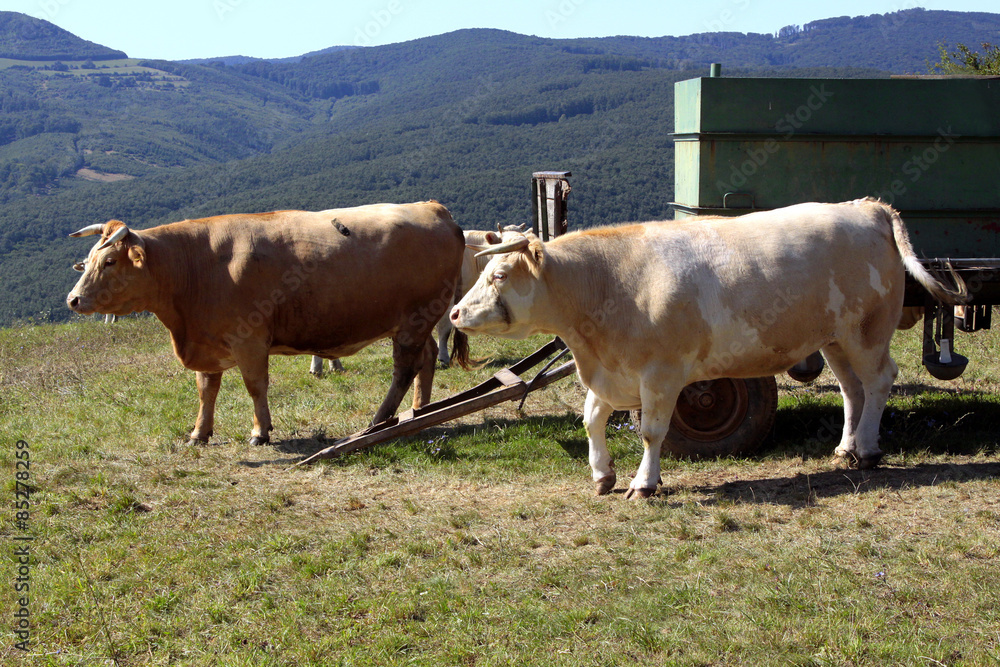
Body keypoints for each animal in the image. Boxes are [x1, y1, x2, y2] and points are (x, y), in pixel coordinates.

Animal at [67, 201, 468, 446]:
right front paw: (200, 432)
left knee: (404, 369)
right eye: (87, 260)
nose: (73, 300)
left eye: (109, 262)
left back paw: (380, 420)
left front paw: (260, 430)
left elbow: (255, 386)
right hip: (415, 322)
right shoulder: (209, 340)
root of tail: (433, 208)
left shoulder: (249, 340)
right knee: (427, 358)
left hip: (415, 319)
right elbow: (206, 389)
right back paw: (420, 410)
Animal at [451, 199, 967, 498]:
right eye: (484, 273)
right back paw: (846, 447)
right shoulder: (610, 370)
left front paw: (644, 483)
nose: (454, 313)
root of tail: (867, 206)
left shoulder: (661, 374)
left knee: (878, 381)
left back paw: (869, 449)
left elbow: (651, 432)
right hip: (835, 338)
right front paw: (601, 475)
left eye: (499, 275)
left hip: (867, 332)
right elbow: (592, 419)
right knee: (852, 391)